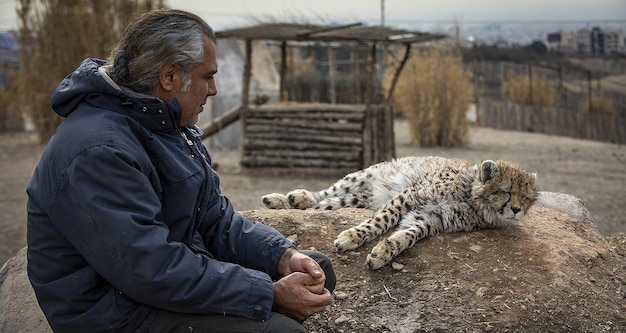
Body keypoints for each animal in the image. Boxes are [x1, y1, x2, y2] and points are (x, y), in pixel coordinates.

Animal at [260, 156, 532, 270]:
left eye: (526, 197)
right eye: (506, 191)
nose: (517, 210)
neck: (470, 197)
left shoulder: (431, 218)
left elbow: (408, 235)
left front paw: (383, 253)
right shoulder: (408, 196)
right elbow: (382, 220)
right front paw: (353, 237)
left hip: (359, 198)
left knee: (328, 203)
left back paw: (291, 200)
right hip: (359, 178)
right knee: (324, 195)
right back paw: (286, 198)